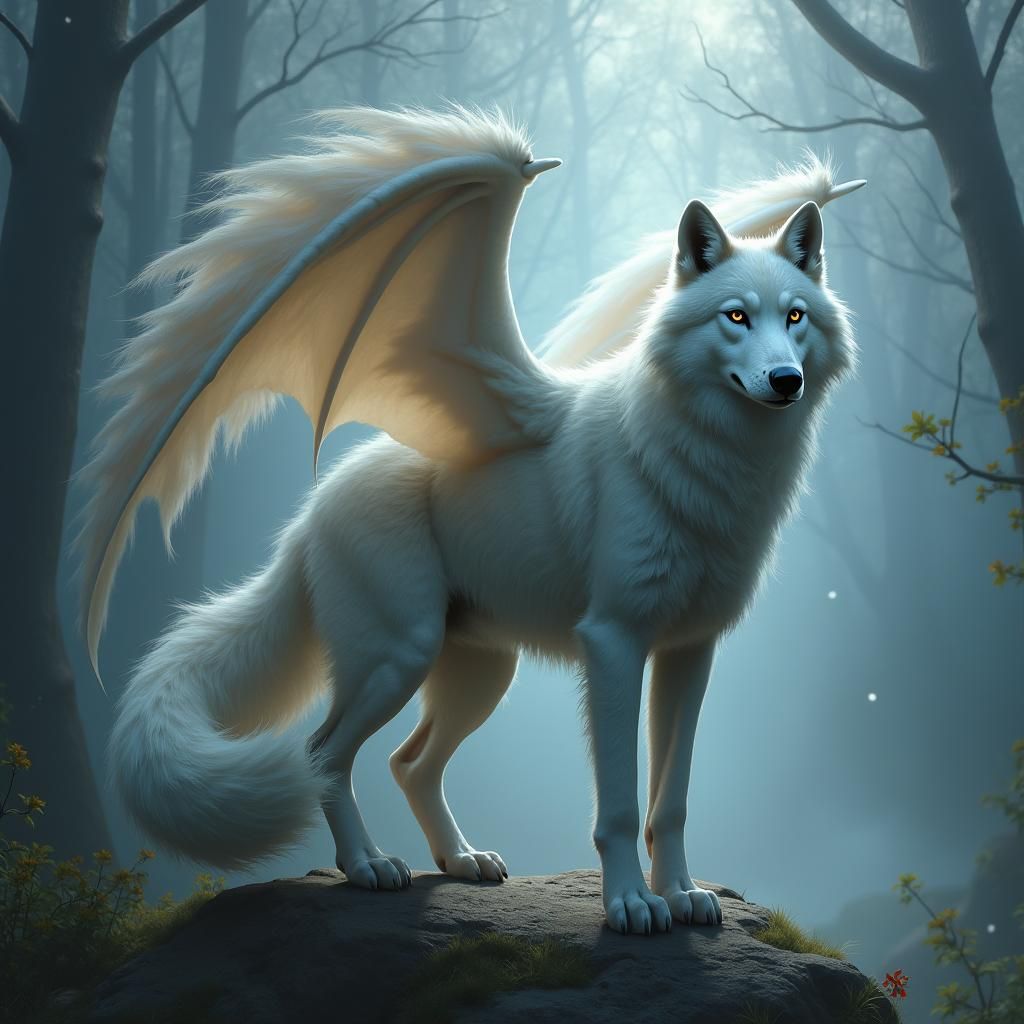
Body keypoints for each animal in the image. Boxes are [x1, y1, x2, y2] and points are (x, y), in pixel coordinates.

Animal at [77, 107, 859, 935]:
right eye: (735, 317)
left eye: (795, 317)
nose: (785, 381)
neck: (707, 464)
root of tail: (306, 517)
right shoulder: (615, 643)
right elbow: (618, 805)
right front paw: (630, 904)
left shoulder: (690, 651)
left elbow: (669, 803)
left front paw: (681, 897)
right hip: (400, 655)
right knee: (325, 753)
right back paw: (368, 867)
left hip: (482, 671)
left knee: (408, 763)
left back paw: (460, 861)